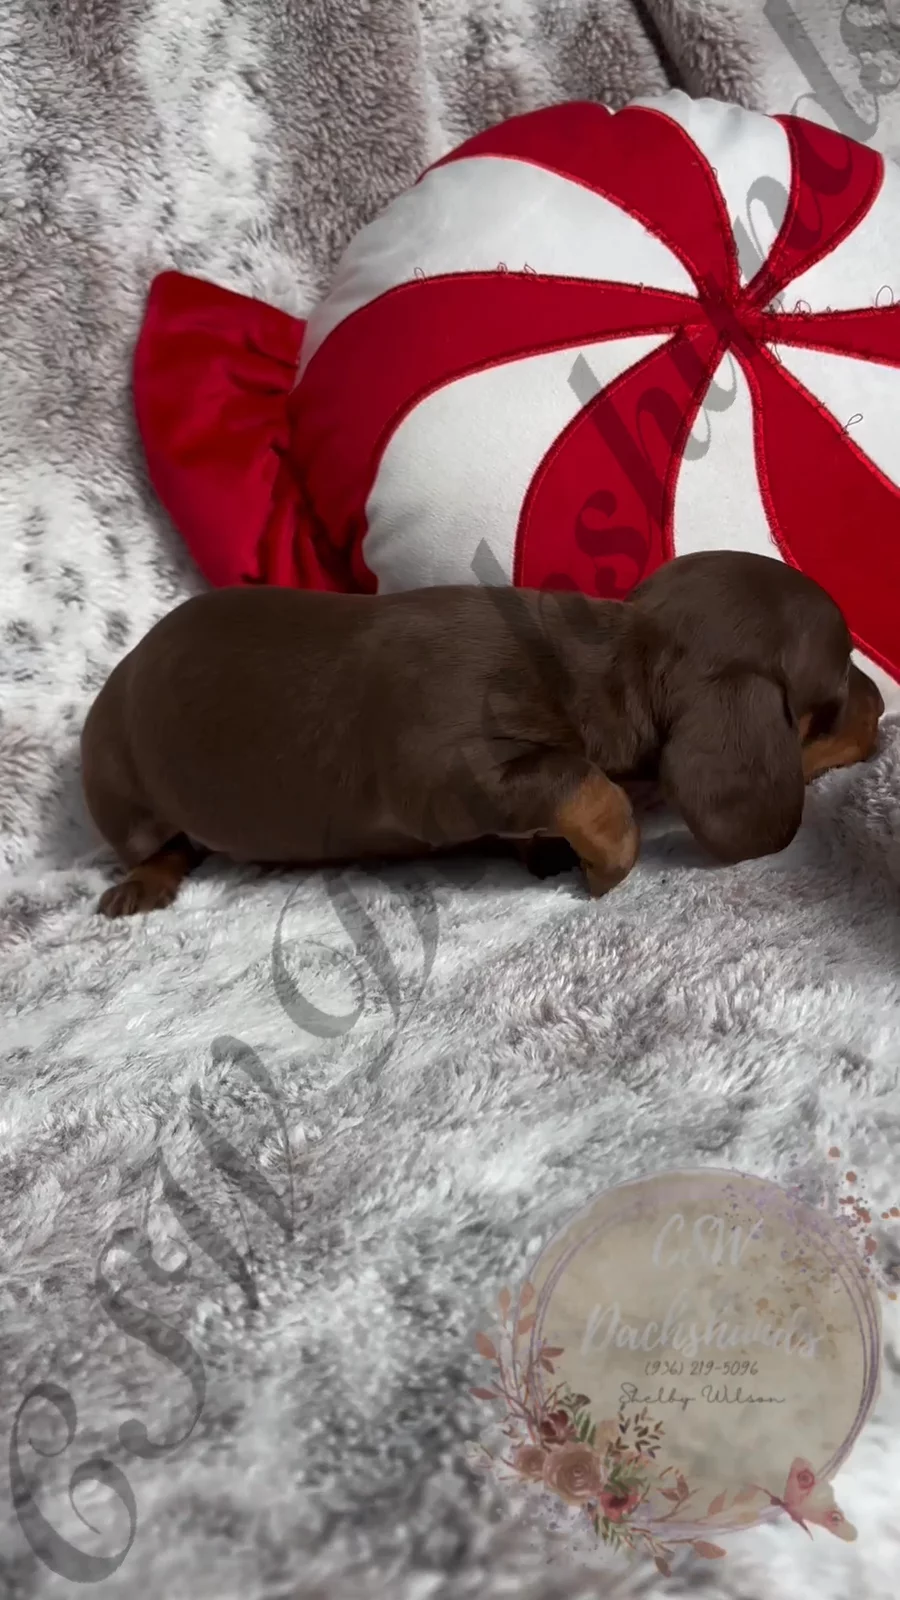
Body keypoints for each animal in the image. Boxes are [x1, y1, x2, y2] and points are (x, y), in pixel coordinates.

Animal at [80, 550, 884, 917]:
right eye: (839, 683)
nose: (883, 703)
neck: (613, 655)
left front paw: (552, 853)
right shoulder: (450, 776)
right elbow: (588, 787)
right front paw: (607, 862)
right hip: (120, 791)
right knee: (162, 846)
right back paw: (141, 885)